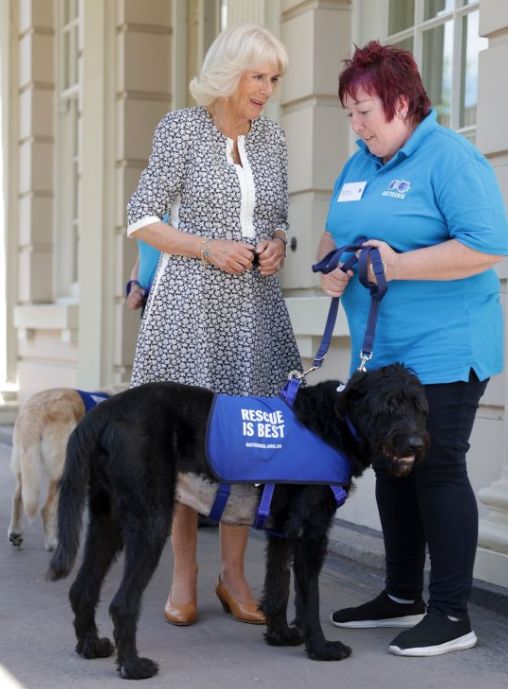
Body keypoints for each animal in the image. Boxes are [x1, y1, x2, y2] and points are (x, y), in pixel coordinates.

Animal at [7, 382, 128, 548]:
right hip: (62, 469)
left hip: (25, 467)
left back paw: (15, 532)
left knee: (18, 497)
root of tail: (35, 410)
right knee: (46, 508)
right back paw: (52, 543)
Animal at [47, 362, 428, 680]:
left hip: (107, 519)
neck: (334, 423)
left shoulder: (282, 531)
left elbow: (278, 586)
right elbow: (309, 598)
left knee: (82, 589)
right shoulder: (311, 533)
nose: (416, 444)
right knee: (122, 604)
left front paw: (280, 635)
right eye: (388, 405)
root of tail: (105, 410)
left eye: (419, 406)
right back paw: (133, 666)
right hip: (150, 521)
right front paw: (320, 648)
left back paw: (91, 646)